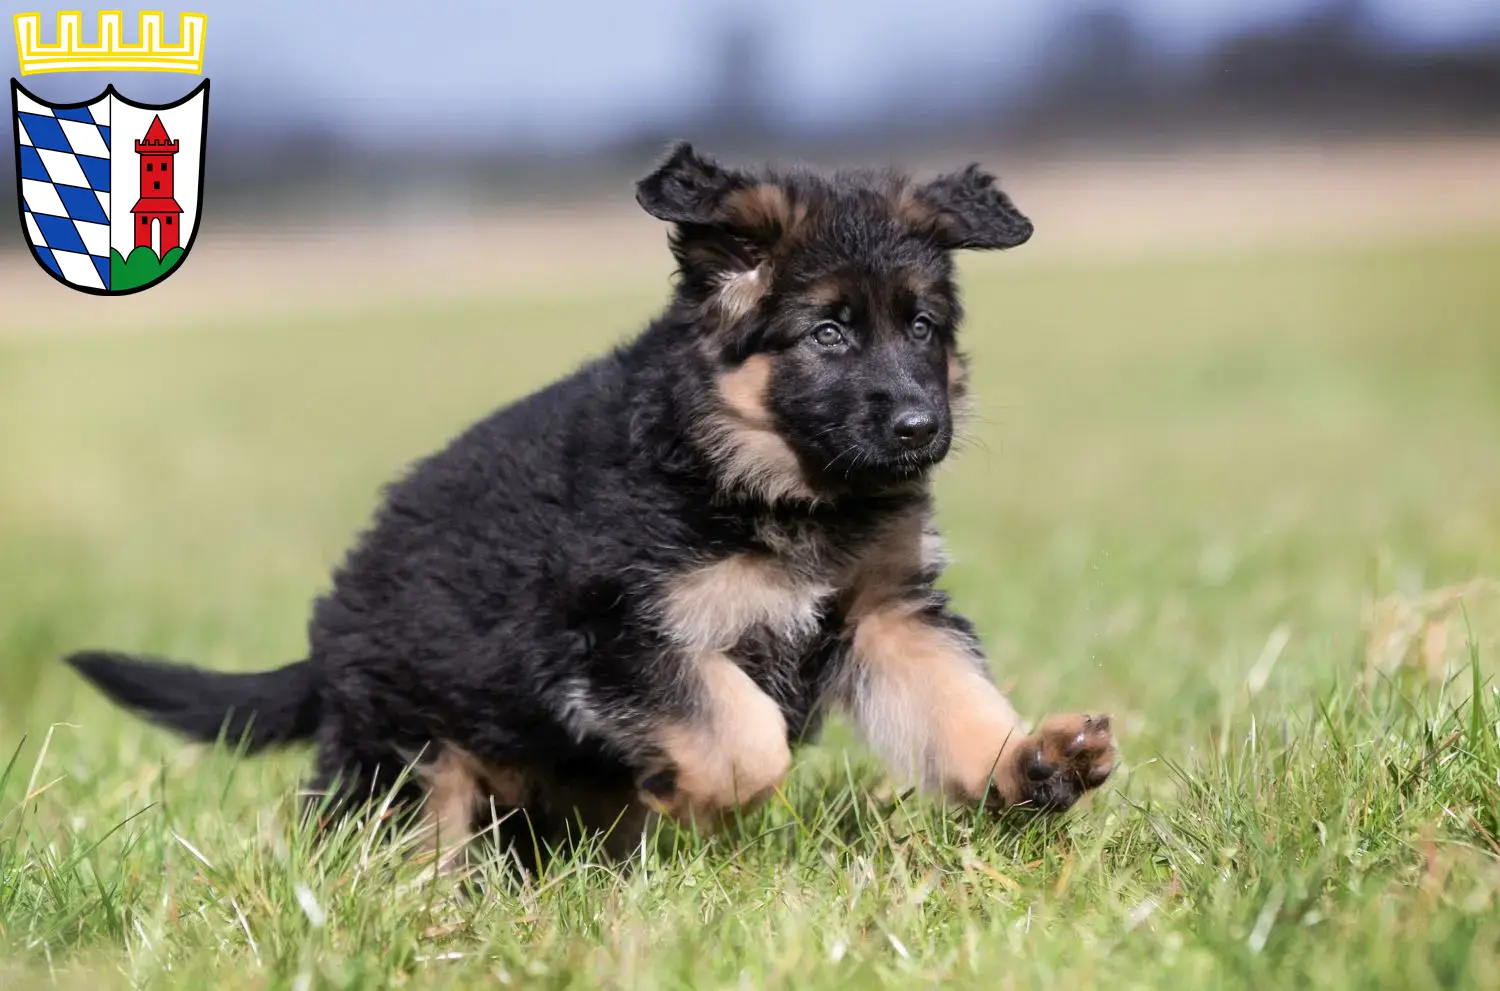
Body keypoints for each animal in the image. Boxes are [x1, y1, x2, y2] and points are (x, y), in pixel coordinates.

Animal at [70, 143, 1116, 869]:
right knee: (399, 839)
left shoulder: (884, 611)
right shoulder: (610, 633)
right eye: (828, 332)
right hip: (412, 759)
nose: (919, 427)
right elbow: (749, 738)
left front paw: (1030, 762)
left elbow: (955, 704)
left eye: (924, 326)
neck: (760, 478)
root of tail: (330, 633)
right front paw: (701, 802)